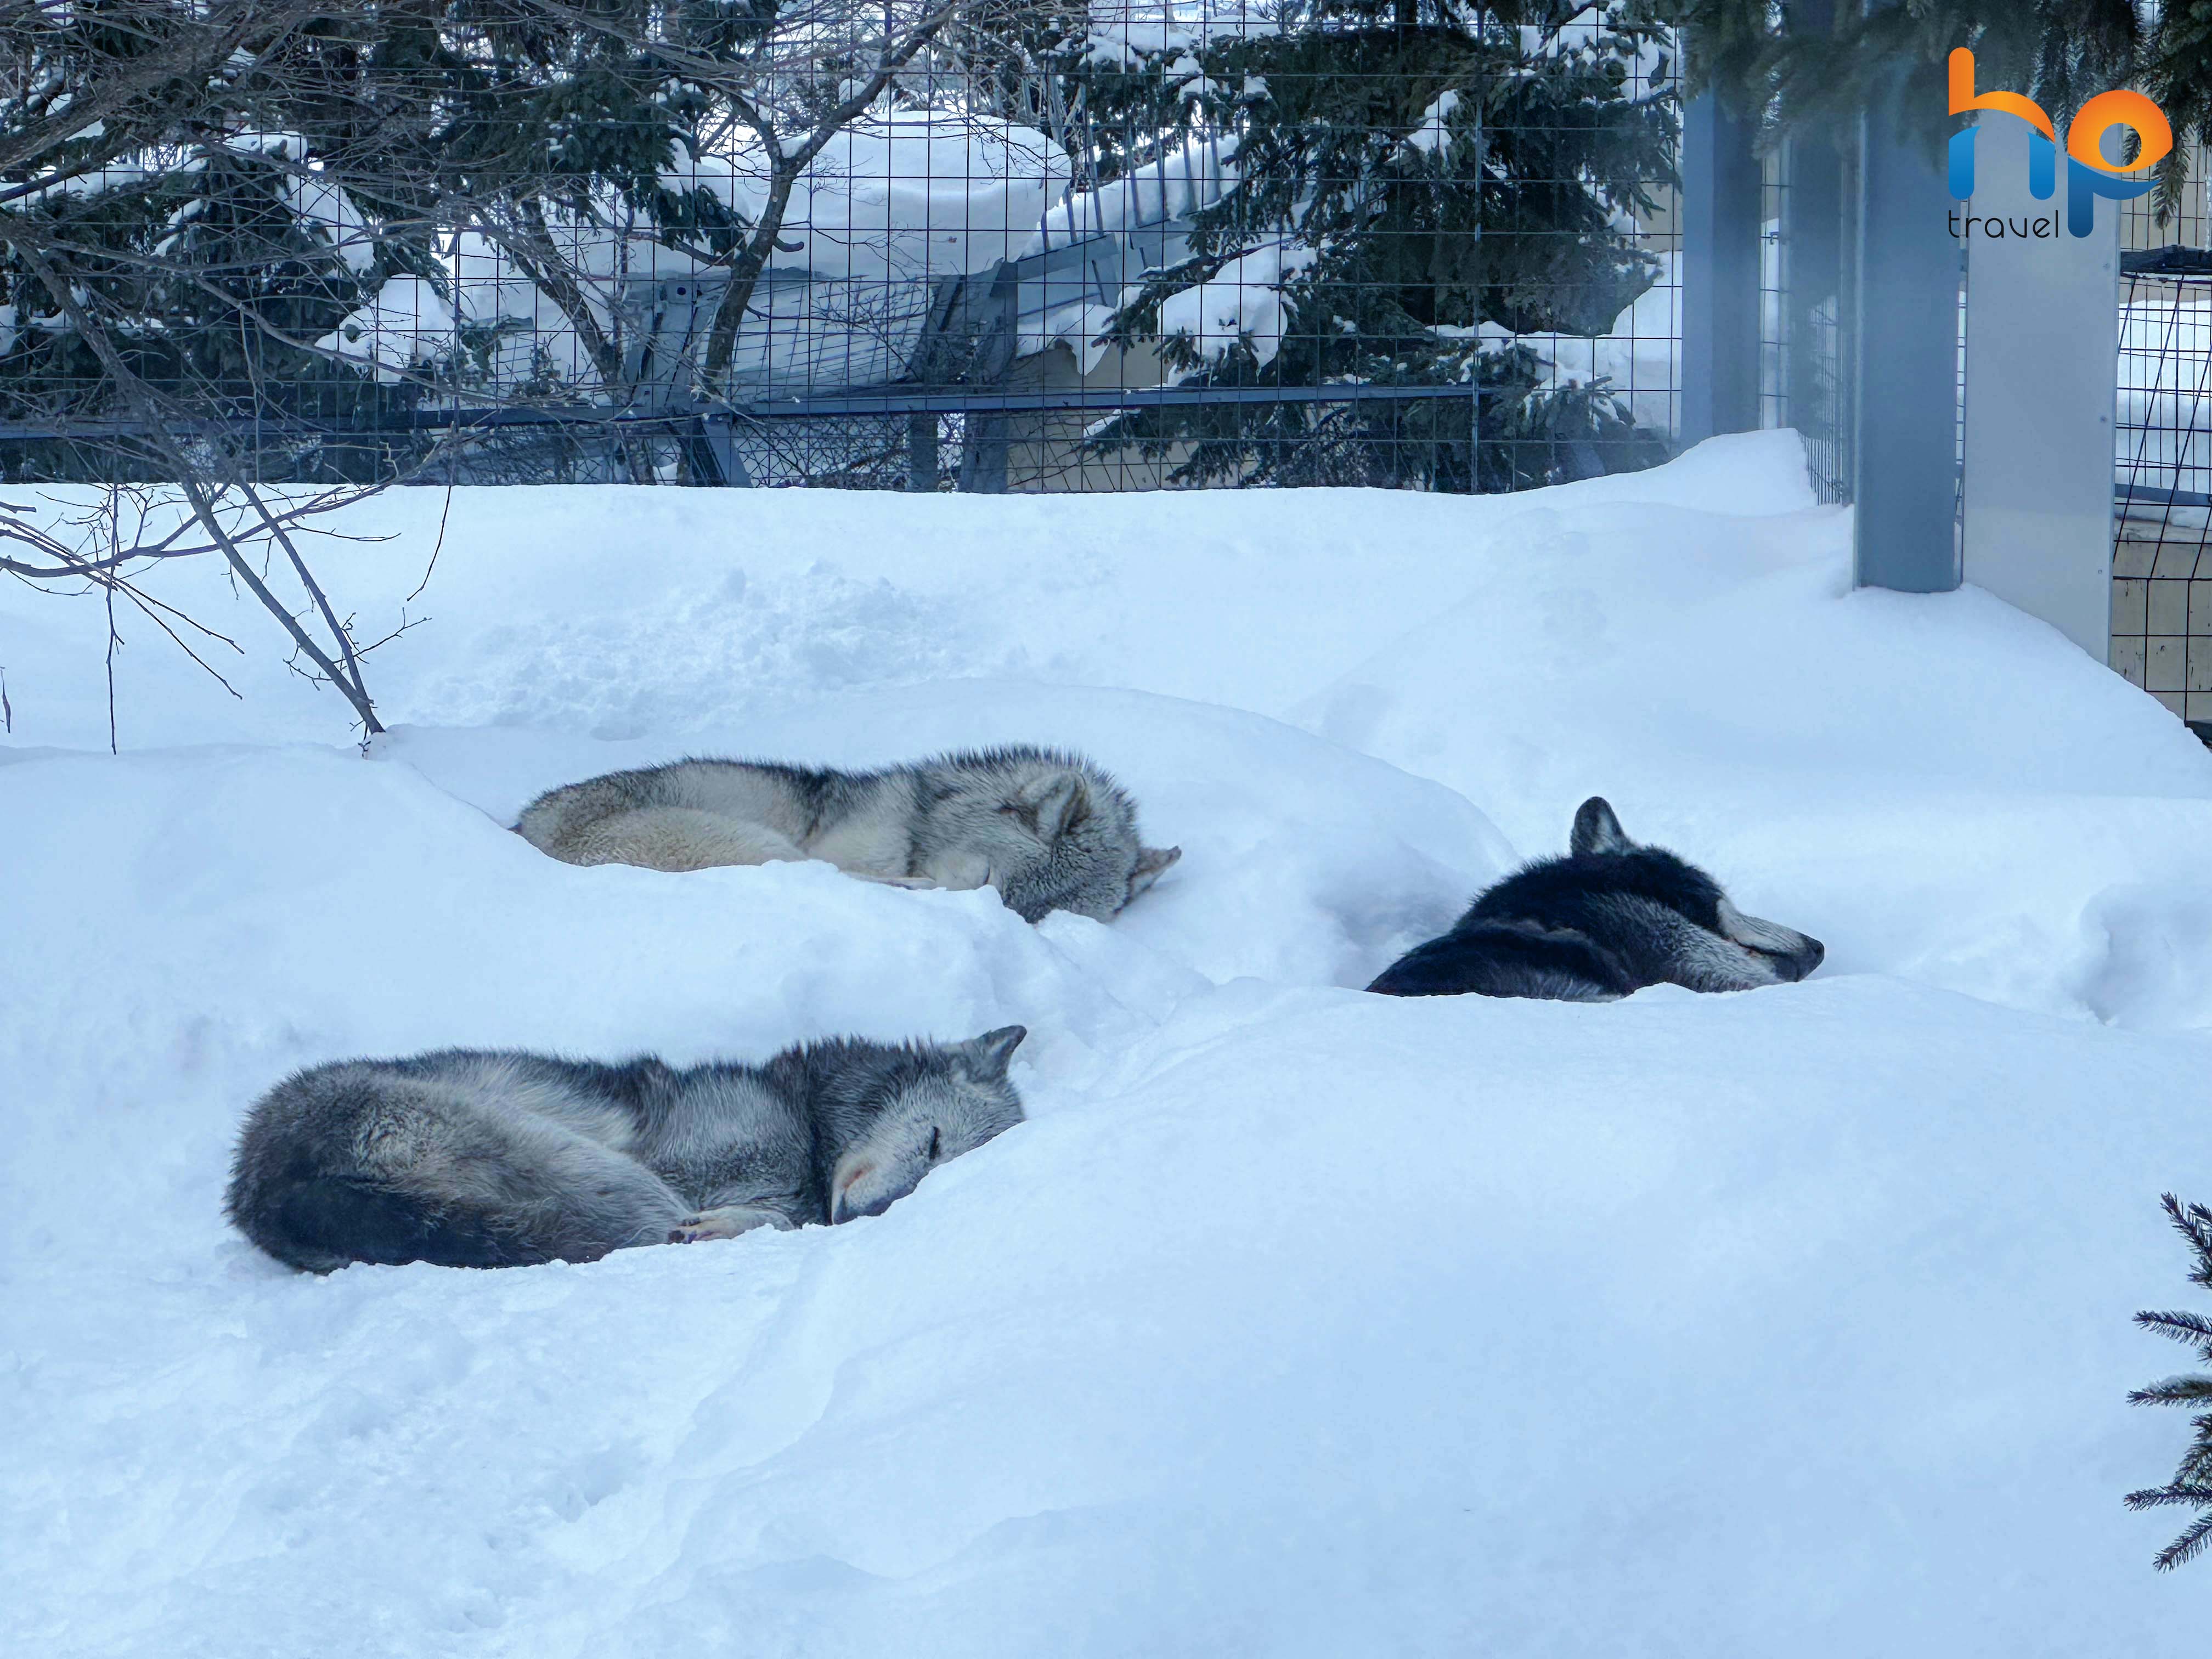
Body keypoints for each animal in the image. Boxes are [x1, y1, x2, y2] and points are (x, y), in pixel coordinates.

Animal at [220, 1026, 1030, 1274]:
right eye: (933, 1142)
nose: (875, 1214)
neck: (807, 1124)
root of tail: (274, 1190)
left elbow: (776, 1218)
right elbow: (770, 1218)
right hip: (605, 1170)